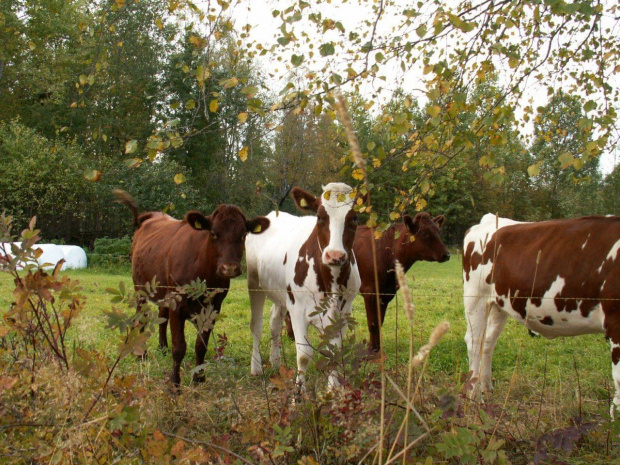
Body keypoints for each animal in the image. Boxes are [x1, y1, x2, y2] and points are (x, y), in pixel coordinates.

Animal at [115, 188, 270, 384]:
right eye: (213, 233)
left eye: (243, 235)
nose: (229, 268)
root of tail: (150, 215)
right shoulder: (177, 304)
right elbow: (179, 347)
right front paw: (174, 382)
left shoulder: (213, 307)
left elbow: (200, 345)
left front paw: (199, 377)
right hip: (140, 287)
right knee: (140, 316)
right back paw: (141, 353)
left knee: (162, 314)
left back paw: (162, 347)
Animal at [246, 183, 364, 390]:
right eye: (319, 216)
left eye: (354, 218)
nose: (335, 255)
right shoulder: (298, 309)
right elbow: (304, 356)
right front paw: (298, 393)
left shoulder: (343, 312)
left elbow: (335, 351)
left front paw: (333, 390)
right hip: (255, 285)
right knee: (257, 325)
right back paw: (256, 367)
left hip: (280, 294)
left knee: (274, 322)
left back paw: (275, 361)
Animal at [354, 212, 450, 354]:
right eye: (425, 234)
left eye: (438, 231)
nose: (447, 255)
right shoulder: (369, 290)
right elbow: (372, 323)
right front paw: (372, 349)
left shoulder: (386, 292)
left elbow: (379, 321)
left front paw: (378, 348)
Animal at [462, 214, 620, 414]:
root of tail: (491, 219)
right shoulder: (616, 324)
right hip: (476, 297)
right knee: (474, 342)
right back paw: (475, 397)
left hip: (498, 304)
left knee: (488, 341)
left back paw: (486, 386)